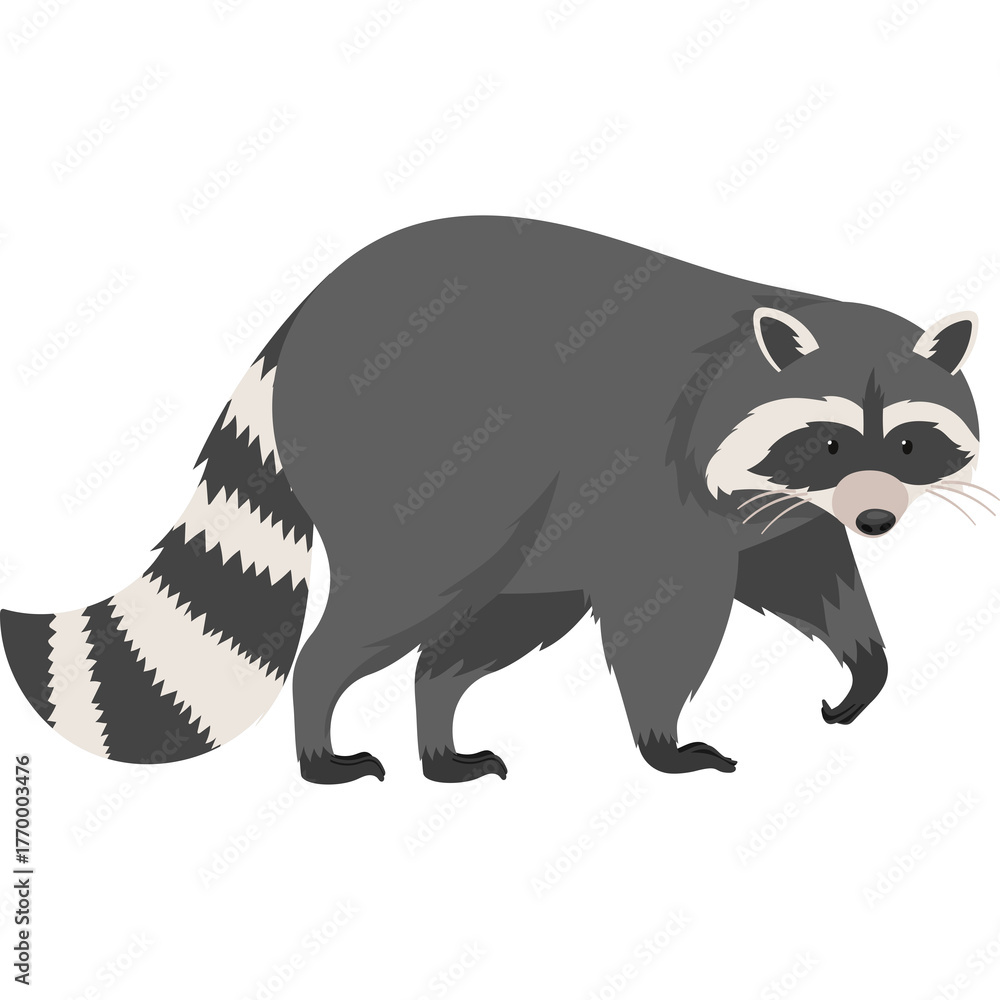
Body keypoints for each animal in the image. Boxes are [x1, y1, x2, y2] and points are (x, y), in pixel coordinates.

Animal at [2, 216, 987, 783]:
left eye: (907, 443)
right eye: (831, 441)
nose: (878, 517)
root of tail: (296, 326)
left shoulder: (764, 505)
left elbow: (803, 570)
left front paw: (862, 663)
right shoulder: (659, 484)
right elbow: (667, 616)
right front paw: (663, 740)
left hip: (518, 516)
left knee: (487, 620)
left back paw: (438, 733)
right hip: (417, 463)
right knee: (400, 601)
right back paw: (321, 733)